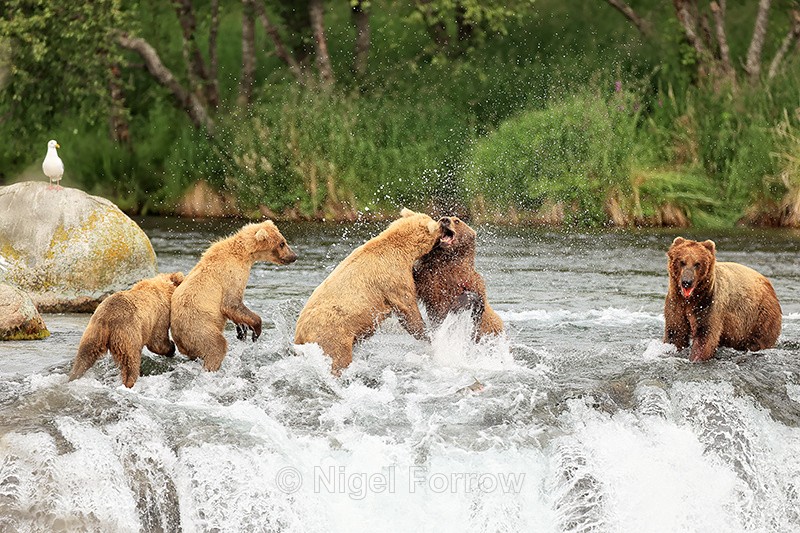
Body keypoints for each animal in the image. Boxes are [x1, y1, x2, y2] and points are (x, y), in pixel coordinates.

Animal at [170, 220, 297, 371]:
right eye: (282, 243)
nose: (294, 256)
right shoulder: (232, 274)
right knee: (216, 346)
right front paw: (256, 330)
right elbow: (231, 304)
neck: (245, 254)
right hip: (198, 326)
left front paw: (242, 330)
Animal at [294, 208, 447, 374]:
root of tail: (300, 335)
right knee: (338, 358)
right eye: (437, 226)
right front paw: (428, 336)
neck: (403, 249)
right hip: (332, 334)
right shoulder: (392, 278)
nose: (443, 224)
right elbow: (407, 308)